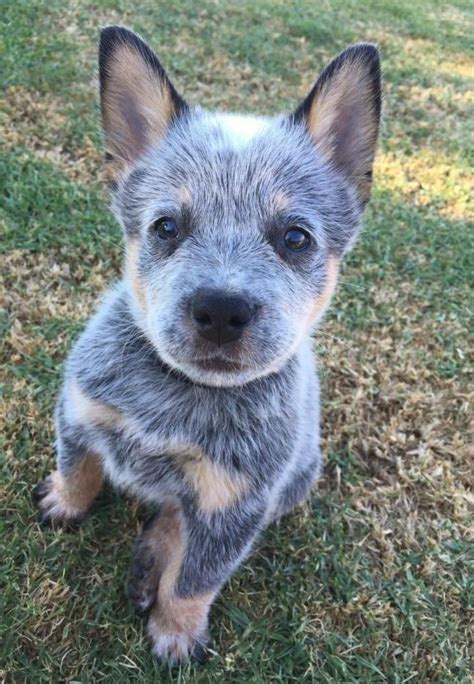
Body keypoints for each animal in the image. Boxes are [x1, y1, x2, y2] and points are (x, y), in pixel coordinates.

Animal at [33, 25, 382, 664]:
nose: (222, 309)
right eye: (166, 226)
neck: (175, 400)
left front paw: (175, 632)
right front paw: (65, 503)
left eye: (296, 238)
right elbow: (79, 467)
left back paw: (152, 561)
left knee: (178, 521)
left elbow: (195, 579)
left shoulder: (236, 505)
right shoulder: (77, 408)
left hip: (296, 480)